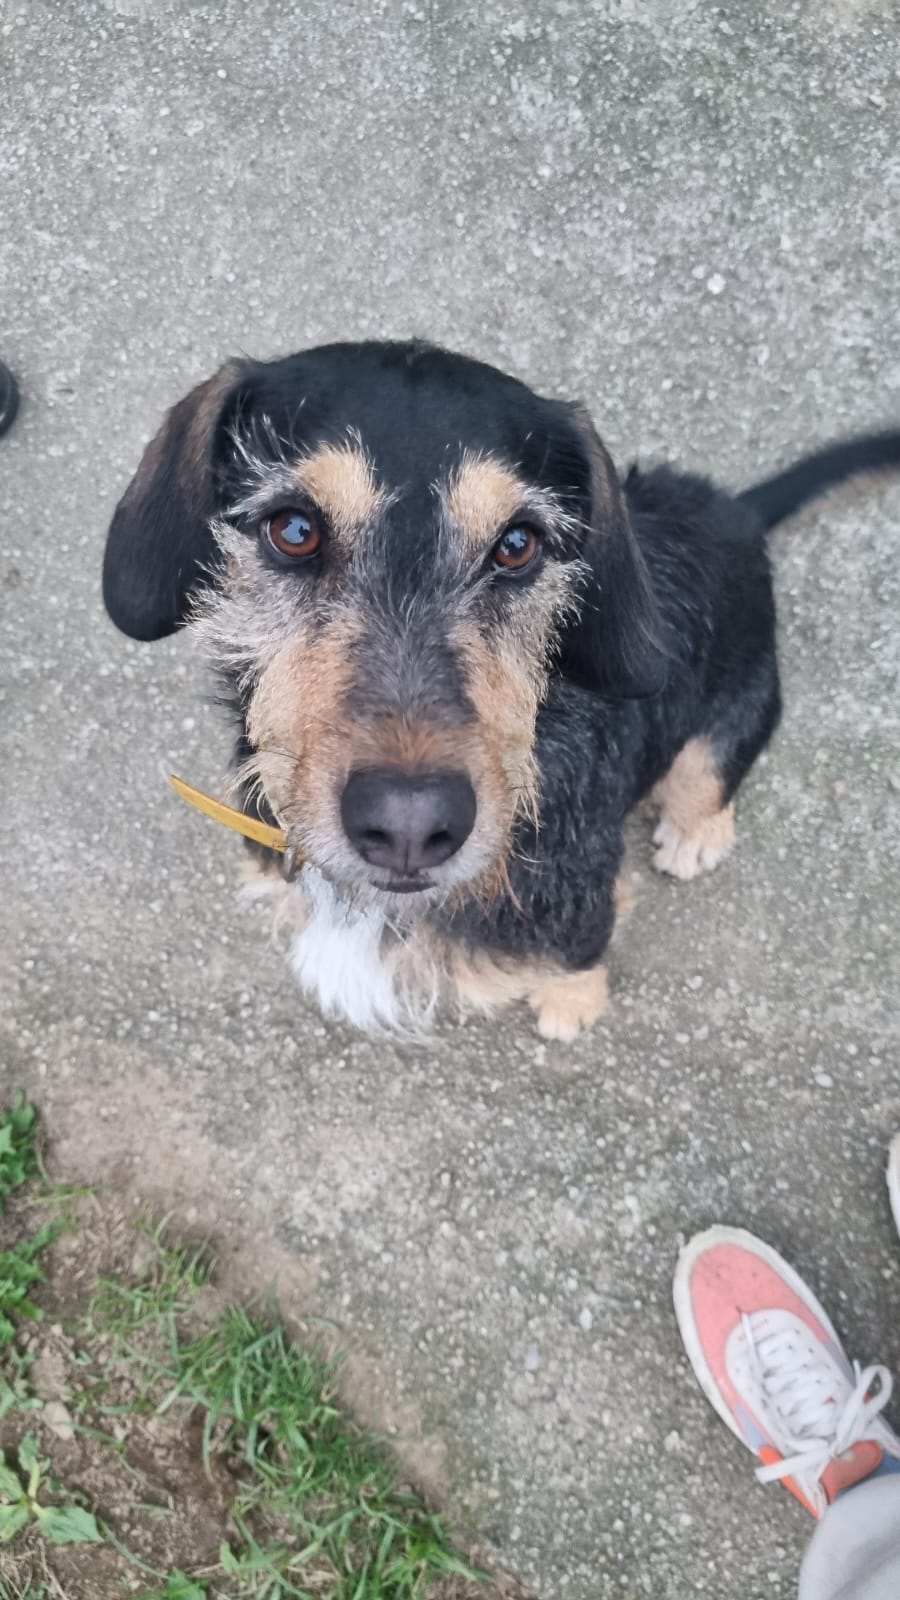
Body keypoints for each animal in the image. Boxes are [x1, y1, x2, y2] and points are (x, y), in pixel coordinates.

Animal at [103, 340, 900, 1038]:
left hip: (736, 712)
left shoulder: (578, 908)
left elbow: (583, 953)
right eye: (292, 529)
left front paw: (570, 1005)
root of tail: (734, 511)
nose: (410, 826)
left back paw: (693, 834)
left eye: (518, 545)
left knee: (707, 776)